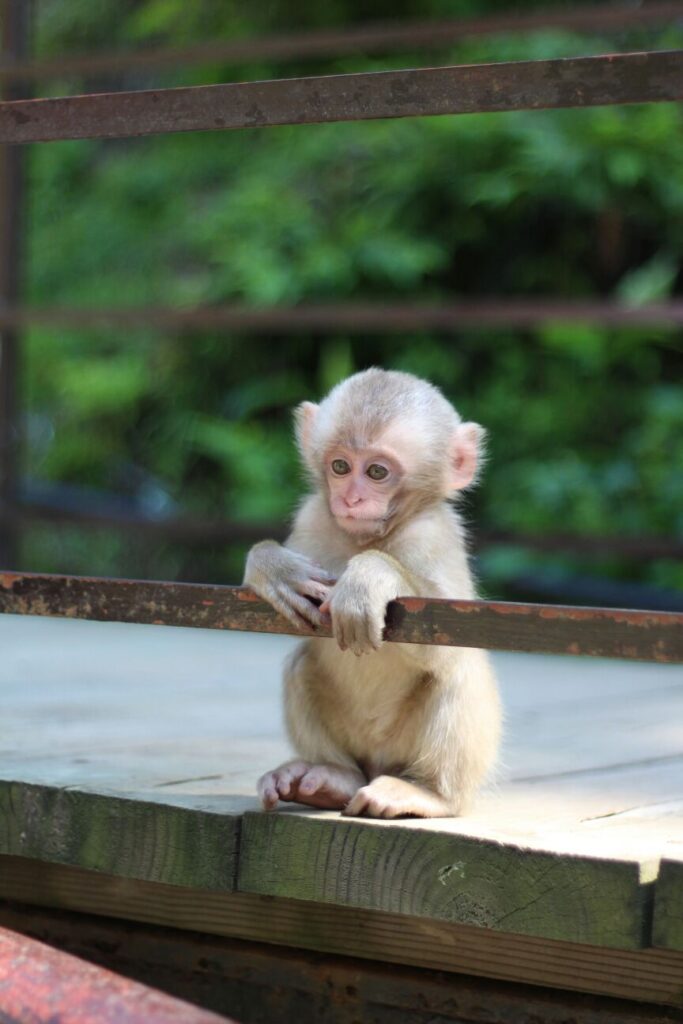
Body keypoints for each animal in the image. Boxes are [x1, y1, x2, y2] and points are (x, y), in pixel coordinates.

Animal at [245, 368, 501, 815]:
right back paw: (334, 779)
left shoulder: (432, 536)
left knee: (457, 673)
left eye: (377, 473)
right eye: (340, 466)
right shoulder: (313, 518)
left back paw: (431, 794)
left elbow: (451, 640)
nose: (351, 497)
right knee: (301, 662)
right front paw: (272, 567)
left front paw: (370, 576)